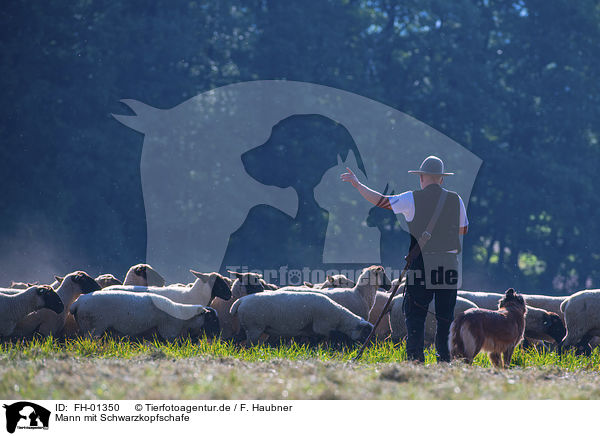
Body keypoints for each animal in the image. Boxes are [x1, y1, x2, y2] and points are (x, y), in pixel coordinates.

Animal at [229, 292, 372, 346]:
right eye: (365, 332)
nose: (368, 346)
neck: (339, 318)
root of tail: (240, 301)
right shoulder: (322, 328)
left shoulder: (312, 331)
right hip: (254, 327)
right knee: (249, 345)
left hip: (245, 327)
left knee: (233, 339)